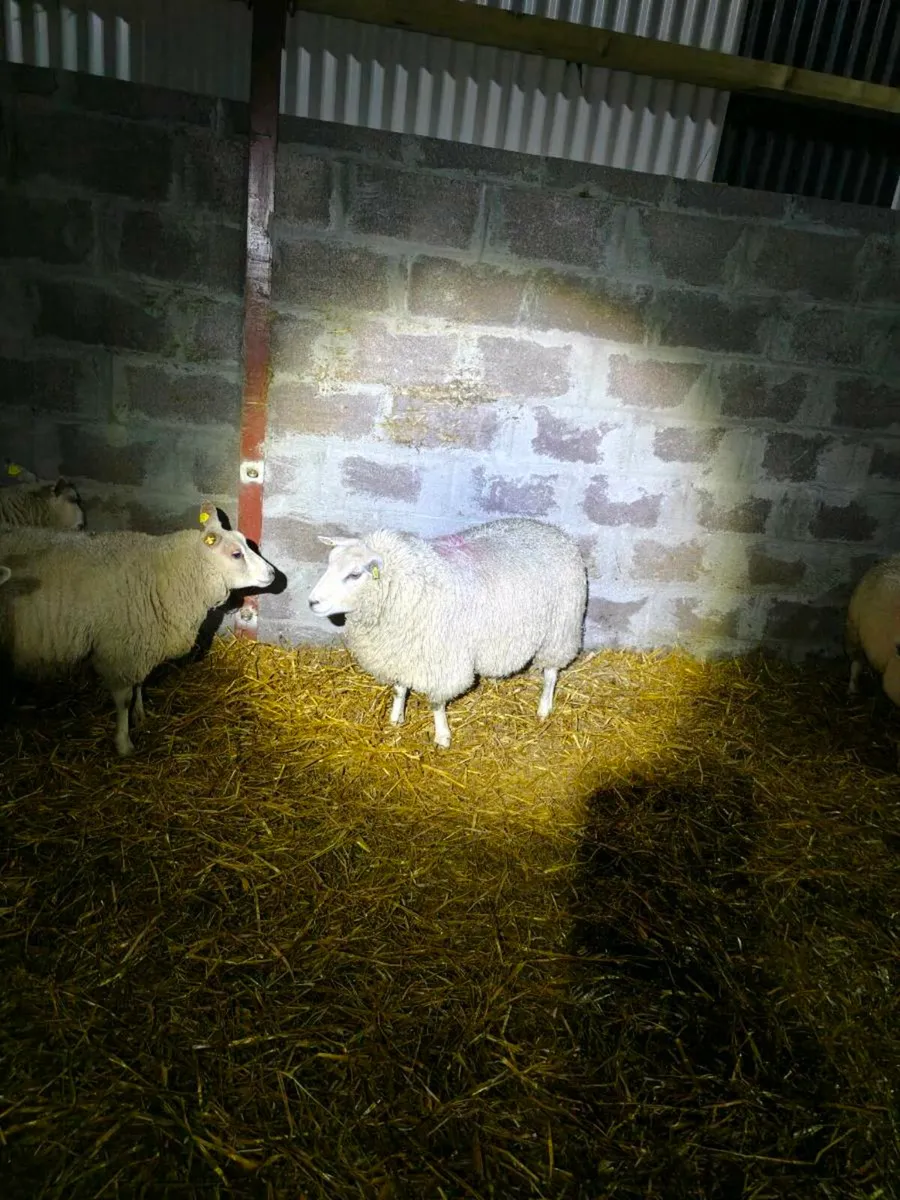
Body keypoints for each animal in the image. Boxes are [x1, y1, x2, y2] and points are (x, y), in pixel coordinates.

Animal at [0, 503, 275, 756]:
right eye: (236, 554)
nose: (273, 574)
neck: (166, 571)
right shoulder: (120, 648)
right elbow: (124, 699)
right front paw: (124, 743)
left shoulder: (142, 640)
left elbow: (140, 683)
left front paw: (141, 715)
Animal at [307, 517, 587, 748]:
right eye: (329, 563)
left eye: (355, 574)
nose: (312, 602)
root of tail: (553, 530)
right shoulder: (400, 652)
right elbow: (399, 689)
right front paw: (396, 718)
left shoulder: (441, 661)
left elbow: (436, 704)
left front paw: (442, 737)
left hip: (560, 629)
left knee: (551, 673)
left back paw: (544, 708)